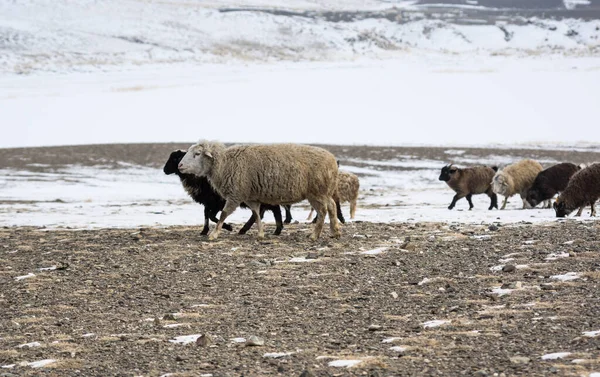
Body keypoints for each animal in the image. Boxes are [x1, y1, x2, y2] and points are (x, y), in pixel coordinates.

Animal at [177, 141, 342, 241]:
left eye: (197, 154)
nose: (180, 165)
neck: (225, 164)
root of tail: (333, 160)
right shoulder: (251, 197)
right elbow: (256, 215)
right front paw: (261, 234)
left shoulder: (235, 195)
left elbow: (223, 214)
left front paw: (214, 234)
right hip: (325, 191)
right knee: (332, 206)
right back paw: (335, 231)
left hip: (317, 192)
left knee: (323, 211)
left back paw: (315, 235)